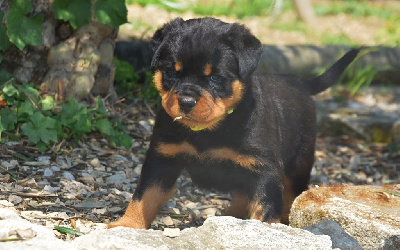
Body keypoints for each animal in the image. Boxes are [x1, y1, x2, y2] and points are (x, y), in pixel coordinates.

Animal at [109, 17, 360, 229]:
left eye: (215, 77)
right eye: (171, 72)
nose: (186, 100)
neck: (208, 131)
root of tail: (299, 81)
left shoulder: (264, 169)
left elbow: (266, 208)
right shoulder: (162, 158)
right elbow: (144, 196)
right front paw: (127, 225)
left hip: (298, 164)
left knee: (290, 194)